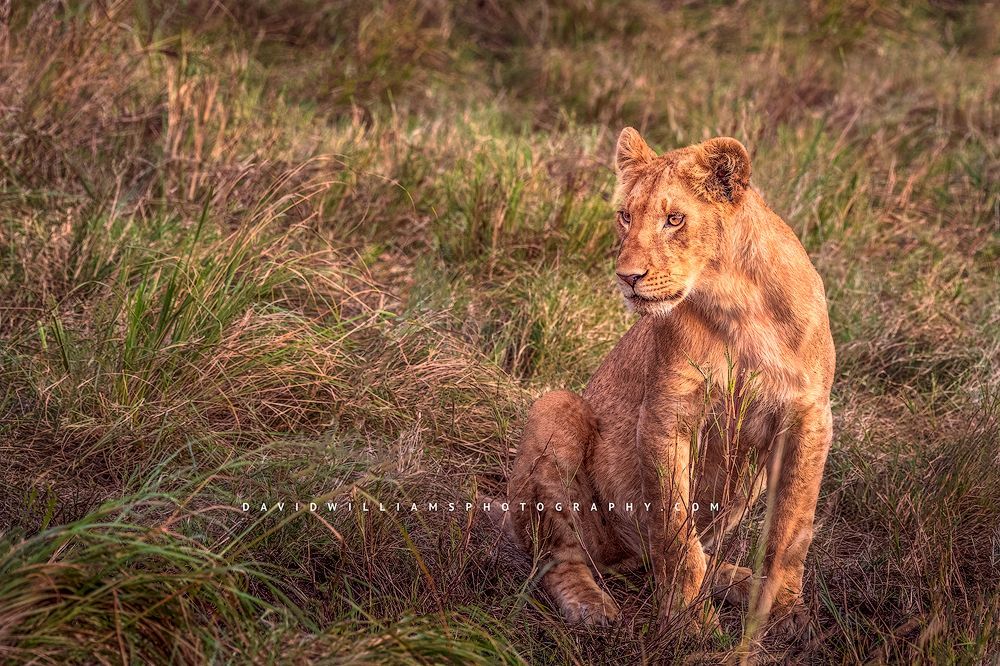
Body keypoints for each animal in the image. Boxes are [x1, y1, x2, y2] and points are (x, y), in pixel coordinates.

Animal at [504, 128, 835, 641]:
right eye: (625, 215)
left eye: (674, 219)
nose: (627, 278)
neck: (737, 303)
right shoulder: (666, 415)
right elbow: (675, 532)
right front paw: (689, 623)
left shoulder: (809, 416)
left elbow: (791, 528)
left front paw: (783, 611)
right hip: (555, 409)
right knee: (563, 557)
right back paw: (593, 608)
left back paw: (741, 582)